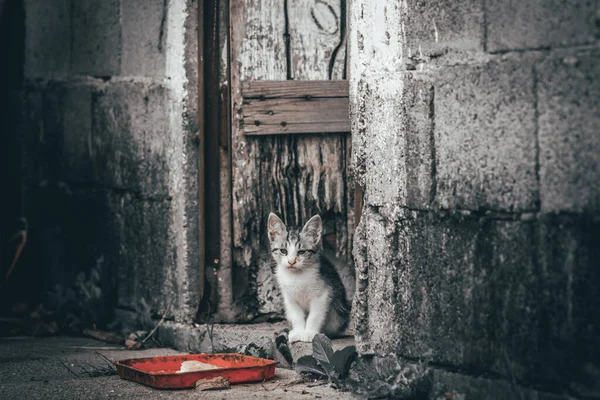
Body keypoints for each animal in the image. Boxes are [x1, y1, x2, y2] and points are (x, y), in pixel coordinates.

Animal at [268, 214, 352, 342]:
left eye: (301, 252)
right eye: (283, 251)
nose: (291, 261)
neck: (296, 276)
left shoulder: (322, 294)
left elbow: (315, 315)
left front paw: (309, 333)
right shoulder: (290, 298)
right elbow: (296, 315)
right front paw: (298, 332)